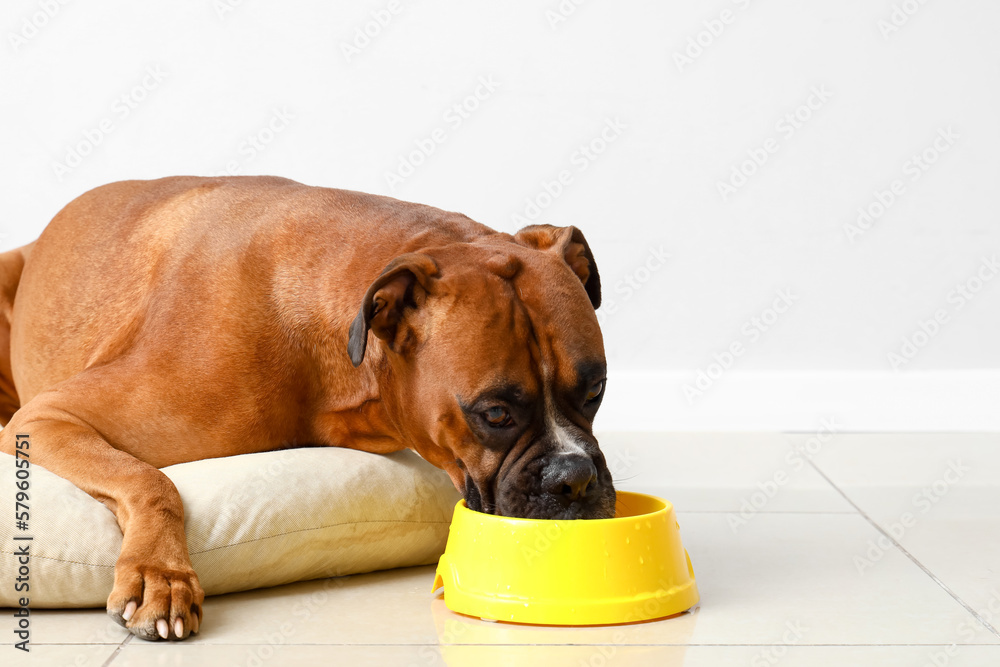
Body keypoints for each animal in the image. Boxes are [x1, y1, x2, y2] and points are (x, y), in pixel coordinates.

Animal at [0, 176, 612, 640]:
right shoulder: (48, 417)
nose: (575, 477)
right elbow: (149, 480)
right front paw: (161, 575)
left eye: (596, 391)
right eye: (495, 414)